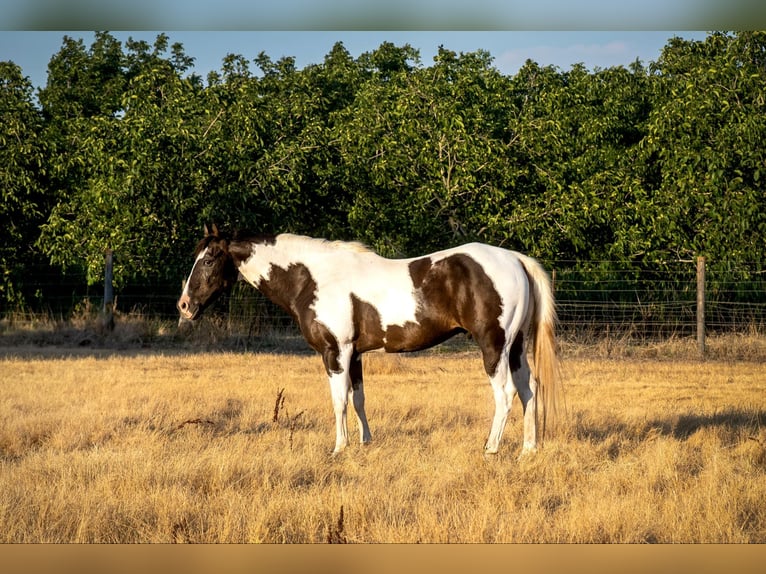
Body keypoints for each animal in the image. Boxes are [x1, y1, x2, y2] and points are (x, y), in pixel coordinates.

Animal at [177, 224, 562, 456]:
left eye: (209, 260)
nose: (184, 305)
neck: (312, 278)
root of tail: (514, 259)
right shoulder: (356, 354)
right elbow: (358, 399)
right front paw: (364, 442)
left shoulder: (335, 352)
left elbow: (339, 402)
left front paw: (339, 448)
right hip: (515, 348)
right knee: (529, 390)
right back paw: (528, 449)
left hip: (493, 347)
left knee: (506, 394)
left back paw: (491, 448)